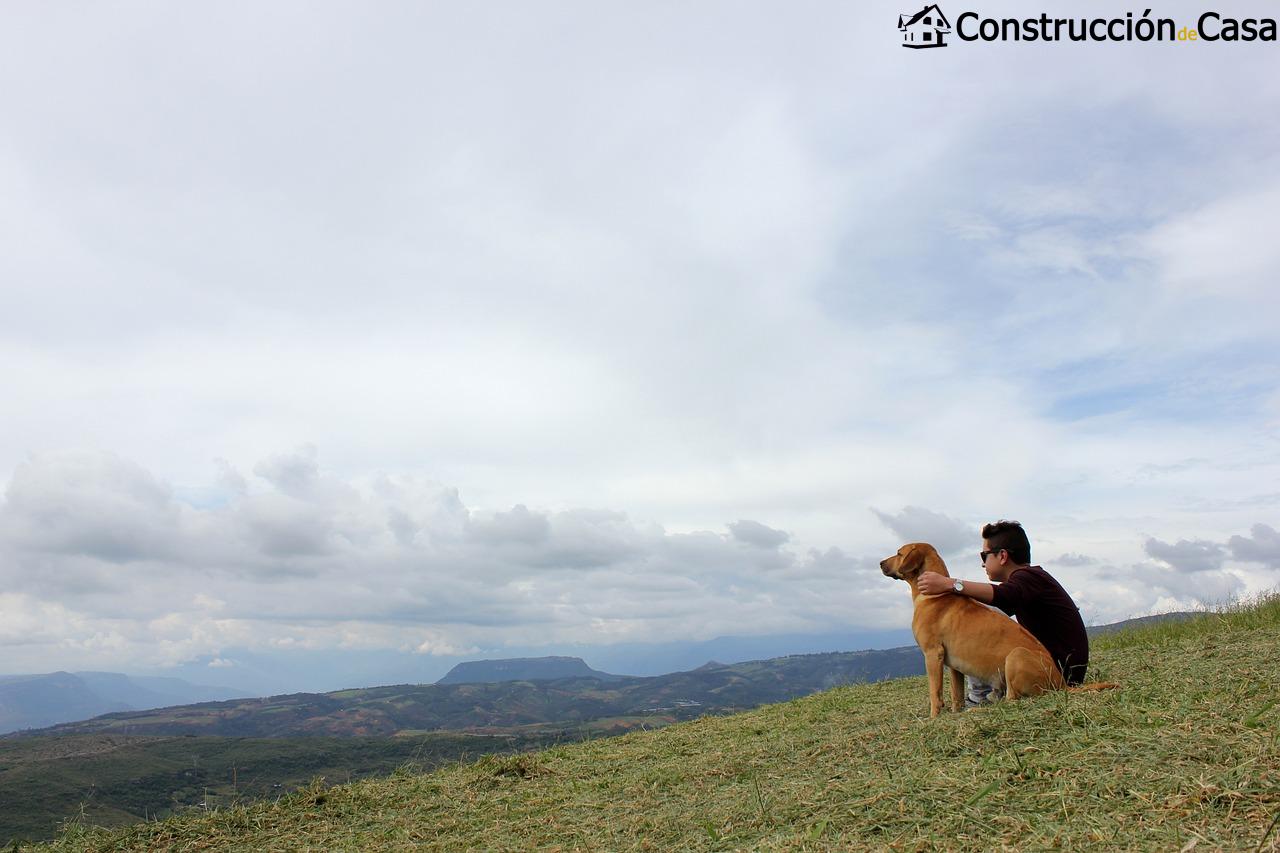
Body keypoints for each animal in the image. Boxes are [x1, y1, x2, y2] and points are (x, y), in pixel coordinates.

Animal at [880, 540, 1111, 712]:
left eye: (899, 553)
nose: (880, 563)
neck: (935, 594)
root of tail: (1062, 682)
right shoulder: (953, 664)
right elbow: (956, 695)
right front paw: (957, 712)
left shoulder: (932, 654)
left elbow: (934, 694)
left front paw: (934, 718)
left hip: (1016, 656)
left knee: (1013, 699)